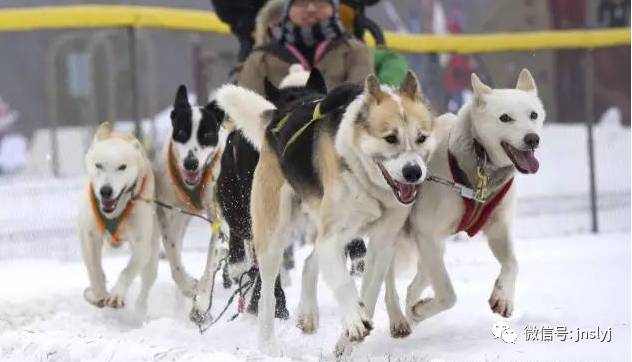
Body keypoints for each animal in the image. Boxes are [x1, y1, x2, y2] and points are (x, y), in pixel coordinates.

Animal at [217, 70, 434, 356]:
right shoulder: (332, 238)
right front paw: (354, 321)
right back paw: (268, 344)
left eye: (421, 138)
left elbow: (370, 289)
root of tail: (276, 118)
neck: (366, 179)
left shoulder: (382, 242)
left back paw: (311, 314)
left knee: (311, 262)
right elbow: (343, 283)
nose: (413, 172)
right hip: (273, 237)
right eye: (390, 138)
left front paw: (348, 340)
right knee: (267, 293)